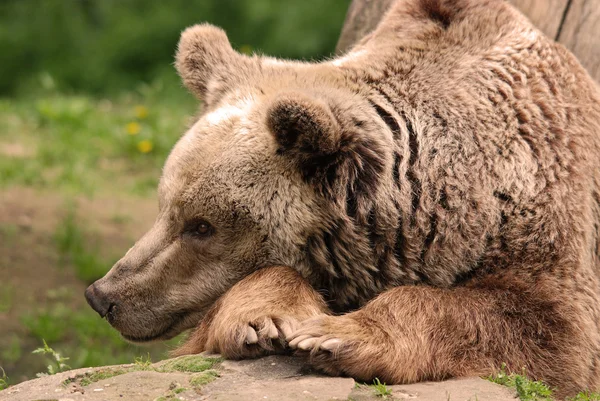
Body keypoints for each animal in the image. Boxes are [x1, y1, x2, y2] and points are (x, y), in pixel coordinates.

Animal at [85, 0, 600, 394]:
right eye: (165, 207)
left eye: (201, 226)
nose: (104, 295)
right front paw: (264, 319)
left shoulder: (545, 228)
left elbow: (550, 334)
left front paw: (335, 336)